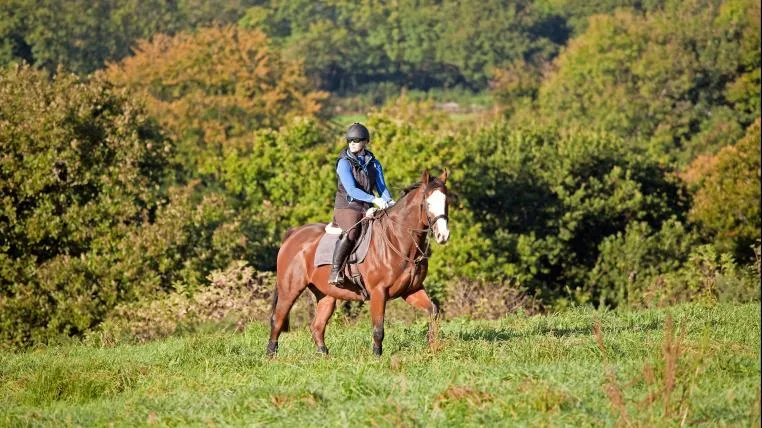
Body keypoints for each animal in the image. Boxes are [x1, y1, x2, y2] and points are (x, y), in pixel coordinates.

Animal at [268, 168, 450, 356]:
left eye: (446, 201)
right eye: (427, 203)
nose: (443, 236)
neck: (397, 240)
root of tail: (294, 233)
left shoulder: (412, 290)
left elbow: (433, 312)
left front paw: (433, 347)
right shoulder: (378, 292)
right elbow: (378, 329)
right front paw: (377, 357)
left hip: (326, 294)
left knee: (316, 326)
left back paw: (325, 356)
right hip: (290, 290)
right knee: (277, 319)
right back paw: (271, 354)